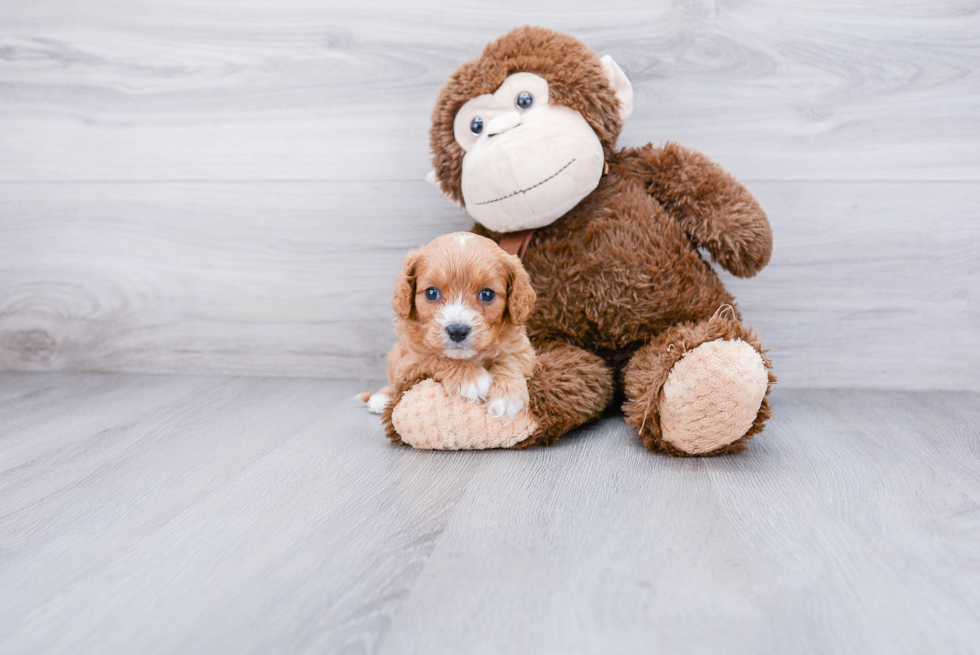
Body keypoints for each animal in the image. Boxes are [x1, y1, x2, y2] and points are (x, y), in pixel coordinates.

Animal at [362, 233, 536, 420]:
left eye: (487, 294)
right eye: (431, 293)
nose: (457, 331)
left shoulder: (523, 350)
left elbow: (510, 361)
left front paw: (507, 396)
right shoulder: (410, 361)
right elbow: (436, 358)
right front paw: (471, 379)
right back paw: (381, 397)